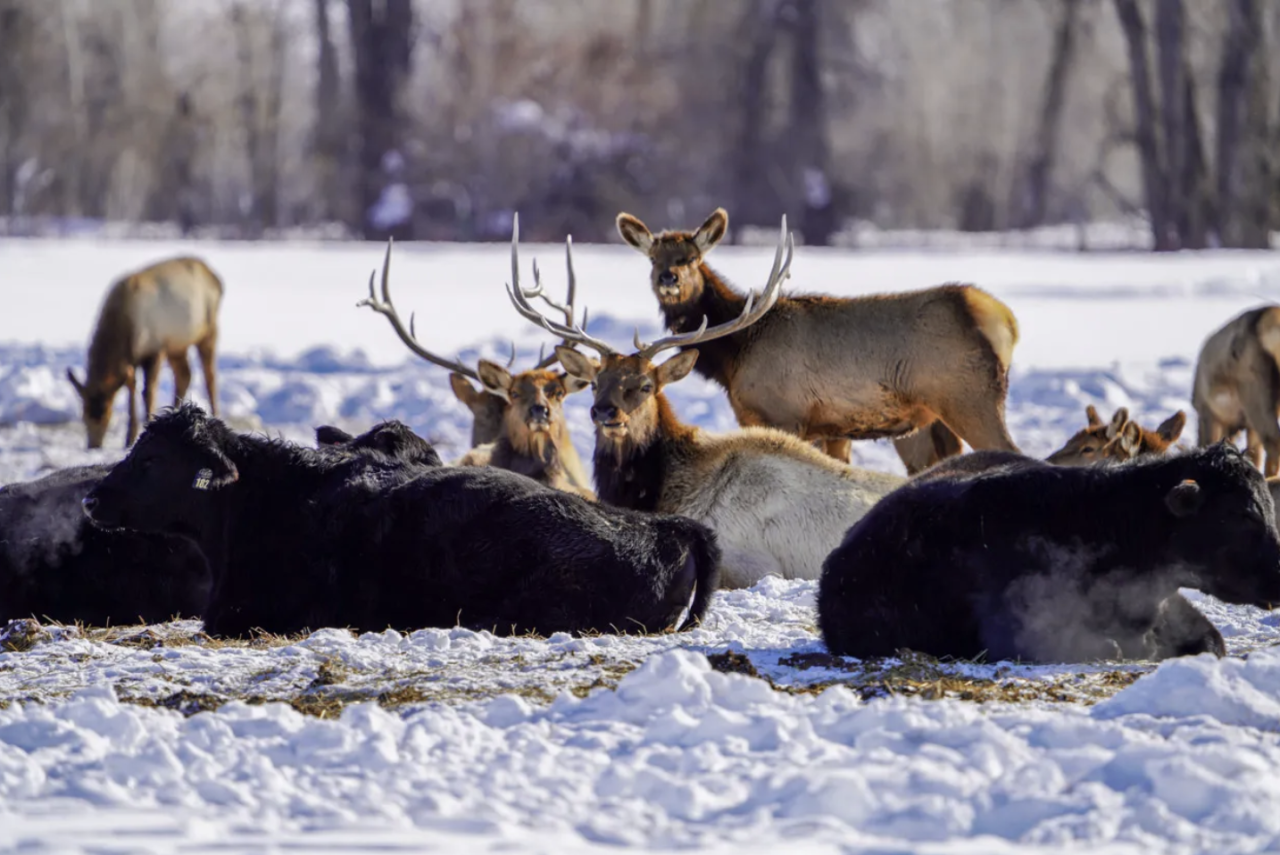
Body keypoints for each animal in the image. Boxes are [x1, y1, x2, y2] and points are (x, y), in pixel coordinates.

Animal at [67, 256, 223, 449]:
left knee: (210, 377)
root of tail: (217, 280)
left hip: (207, 331)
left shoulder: (155, 349)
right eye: (84, 415)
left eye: (106, 414)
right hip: (177, 343)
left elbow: (148, 392)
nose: (93, 445)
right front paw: (129, 437)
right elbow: (131, 387)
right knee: (184, 375)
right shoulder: (133, 358)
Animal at [614, 207, 1021, 474]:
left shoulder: (783, 414)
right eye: (653, 259)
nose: (668, 278)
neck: (734, 354)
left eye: (691, 257)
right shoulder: (832, 427)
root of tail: (1007, 321)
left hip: (969, 396)